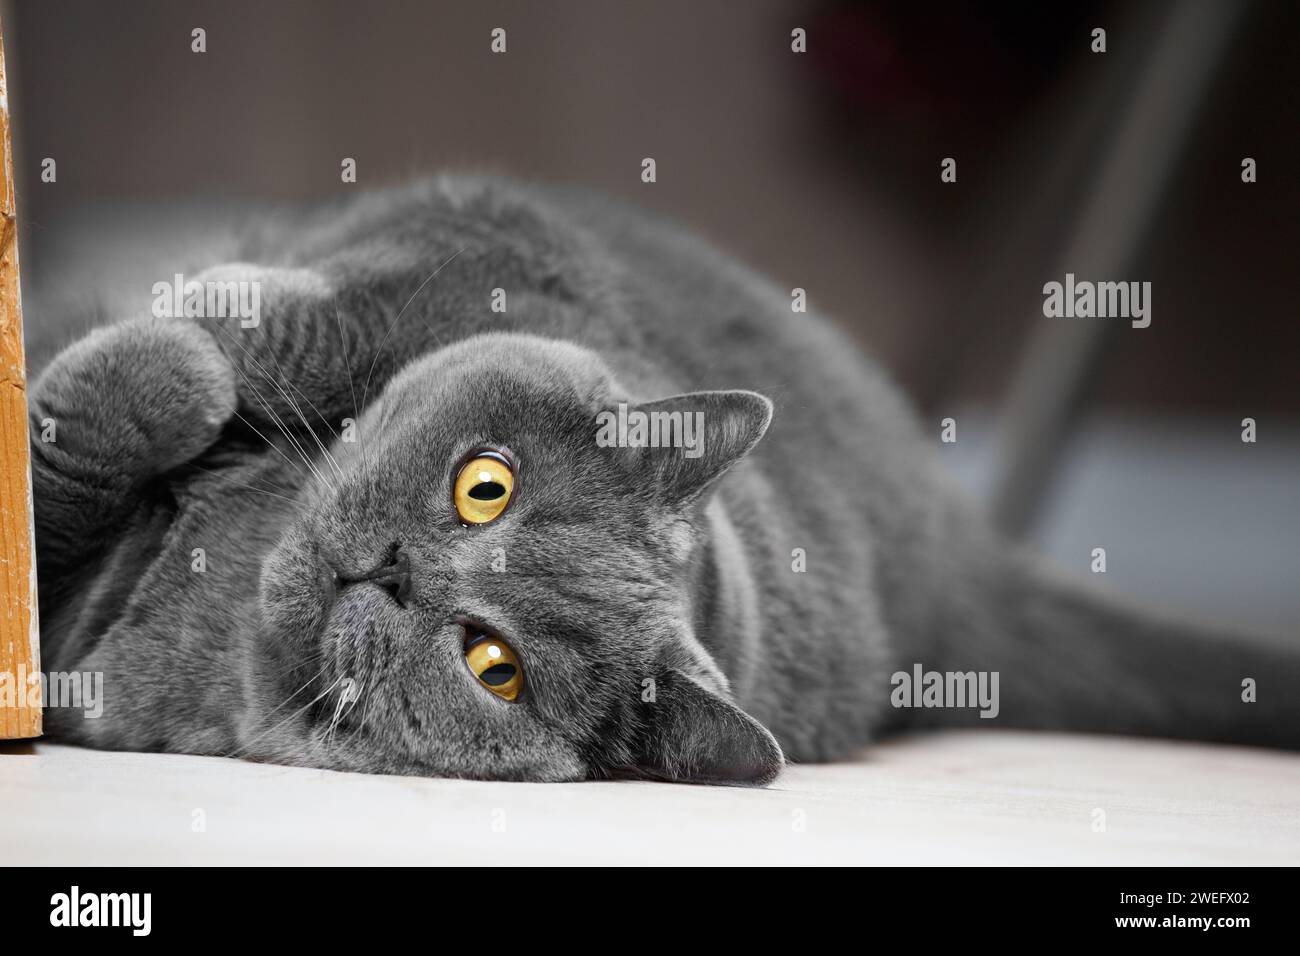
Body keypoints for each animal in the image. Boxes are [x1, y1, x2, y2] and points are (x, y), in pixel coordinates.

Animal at [22, 175, 1300, 780]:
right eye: (484, 486)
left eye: (492, 664)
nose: (393, 571)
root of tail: (955, 567)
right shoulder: (487, 243)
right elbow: (301, 323)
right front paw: (187, 340)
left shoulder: (82, 653)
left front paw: (132, 377)